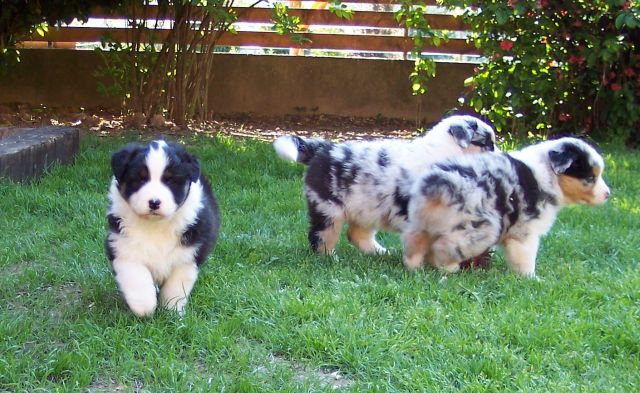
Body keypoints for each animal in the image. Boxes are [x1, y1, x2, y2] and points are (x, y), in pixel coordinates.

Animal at [272, 113, 498, 254]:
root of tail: (323, 148)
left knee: (356, 234)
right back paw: (328, 256)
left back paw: (380, 252)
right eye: (487, 144)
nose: (501, 156)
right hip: (328, 207)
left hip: (366, 207)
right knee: (321, 234)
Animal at [404, 136, 608, 278]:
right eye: (590, 178)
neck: (550, 174)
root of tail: (439, 182)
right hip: (481, 229)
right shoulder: (526, 233)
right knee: (443, 248)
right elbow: (526, 259)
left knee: (415, 245)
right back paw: (448, 268)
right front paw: (532, 278)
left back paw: (414, 267)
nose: (608, 194)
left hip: (421, 223)